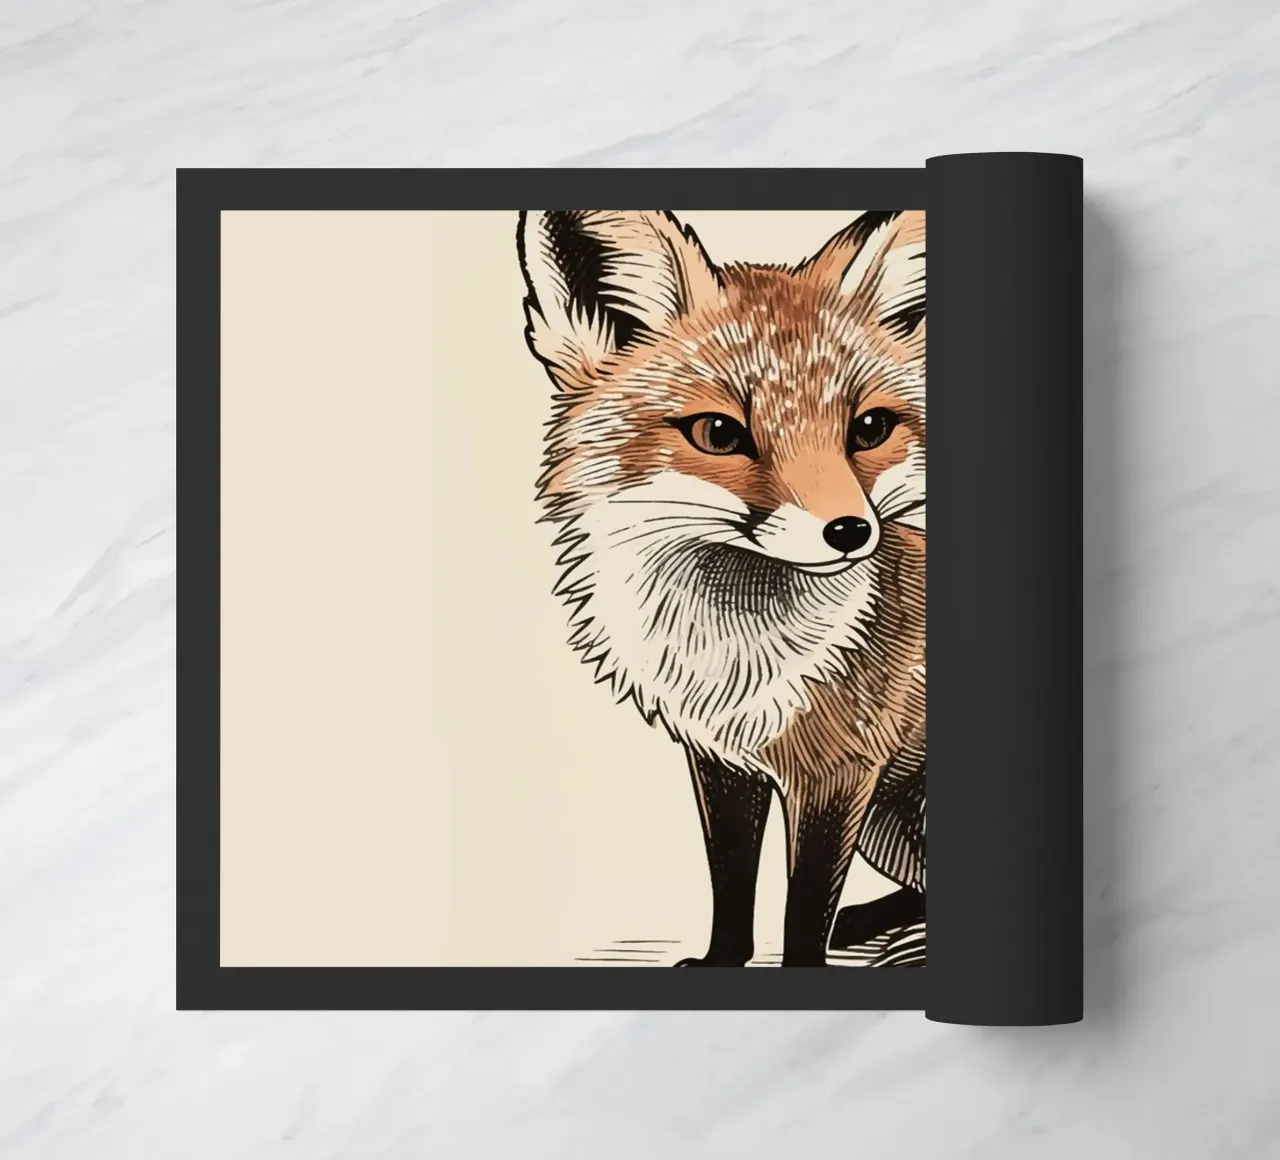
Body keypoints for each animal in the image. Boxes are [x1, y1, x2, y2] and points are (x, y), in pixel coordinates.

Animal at [517, 209, 926, 967]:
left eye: (869, 427)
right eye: (718, 433)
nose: (851, 531)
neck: (735, 653)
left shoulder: (840, 774)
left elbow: (804, 910)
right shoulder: (721, 760)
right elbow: (731, 877)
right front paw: (720, 961)